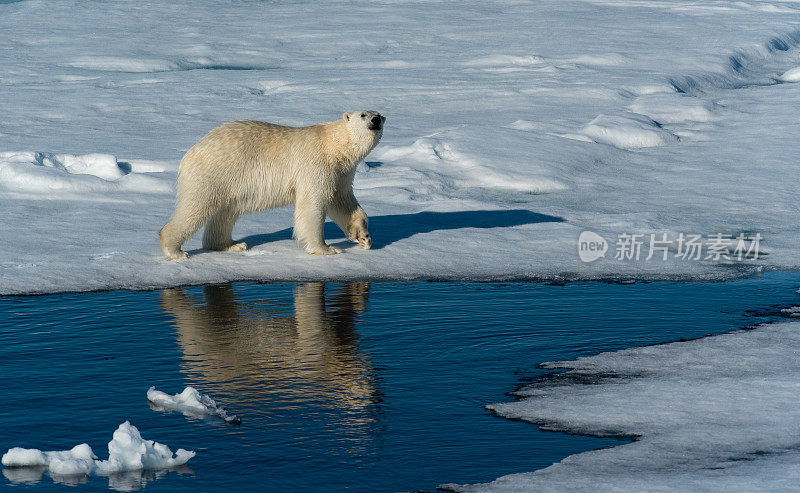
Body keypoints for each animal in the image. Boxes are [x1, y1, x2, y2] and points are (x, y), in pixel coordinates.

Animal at [159, 110, 384, 260]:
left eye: (380, 115)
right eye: (363, 114)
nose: (375, 120)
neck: (333, 145)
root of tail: (190, 153)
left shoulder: (342, 172)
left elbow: (343, 201)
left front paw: (363, 237)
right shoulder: (316, 164)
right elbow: (313, 205)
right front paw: (326, 249)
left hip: (228, 182)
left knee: (225, 213)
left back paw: (232, 245)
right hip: (213, 173)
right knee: (195, 207)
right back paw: (175, 250)